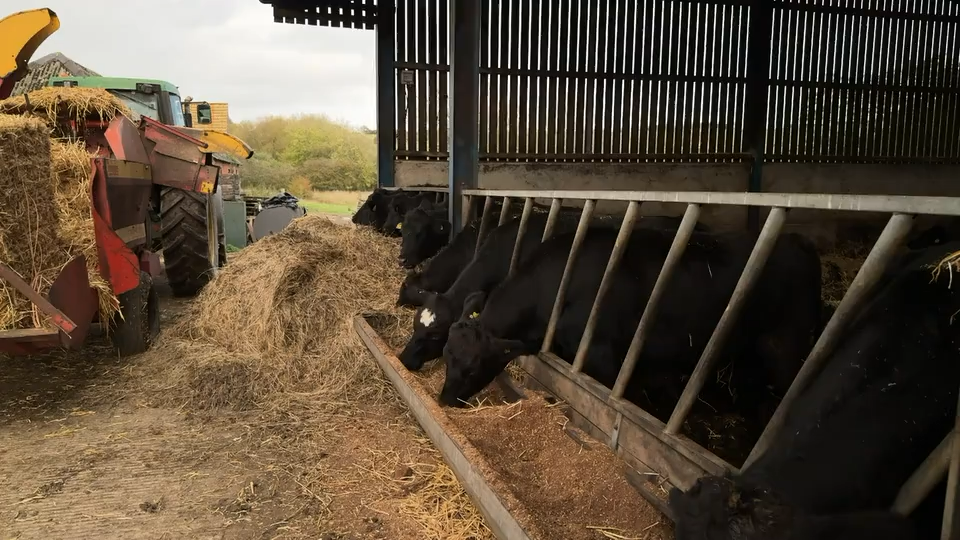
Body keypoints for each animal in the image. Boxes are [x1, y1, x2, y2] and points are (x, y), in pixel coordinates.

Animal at [438, 227, 820, 414]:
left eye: (471, 368)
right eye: (445, 355)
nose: (443, 400)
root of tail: (798, 241)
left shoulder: (603, 357)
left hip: (786, 345)